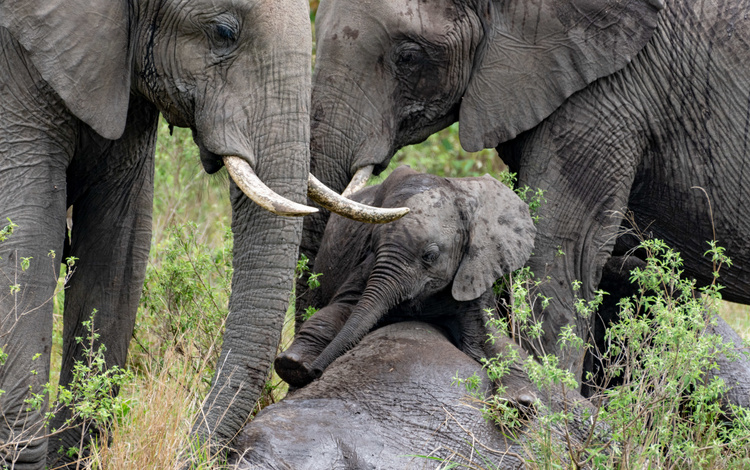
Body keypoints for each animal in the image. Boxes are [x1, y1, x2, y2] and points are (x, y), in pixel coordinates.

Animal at [274, 167, 536, 388]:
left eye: (430, 256)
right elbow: (340, 309)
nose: (316, 372)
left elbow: (486, 334)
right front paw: (293, 365)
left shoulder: (474, 268)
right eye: (371, 243)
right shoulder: (364, 266)